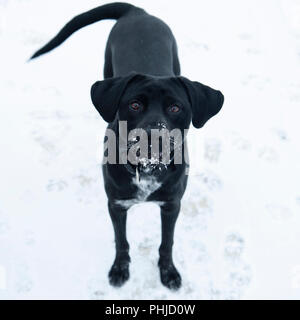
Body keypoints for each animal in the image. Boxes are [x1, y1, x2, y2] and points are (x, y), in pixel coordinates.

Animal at [31, 1, 224, 290]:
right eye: (134, 105)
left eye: (175, 107)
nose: (153, 137)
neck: (147, 169)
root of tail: (138, 12)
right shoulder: (116, 204)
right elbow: (121, 241)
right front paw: (120, 269)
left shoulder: (172, 204)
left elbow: (167, 242)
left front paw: (168, 271)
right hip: (107, 64)